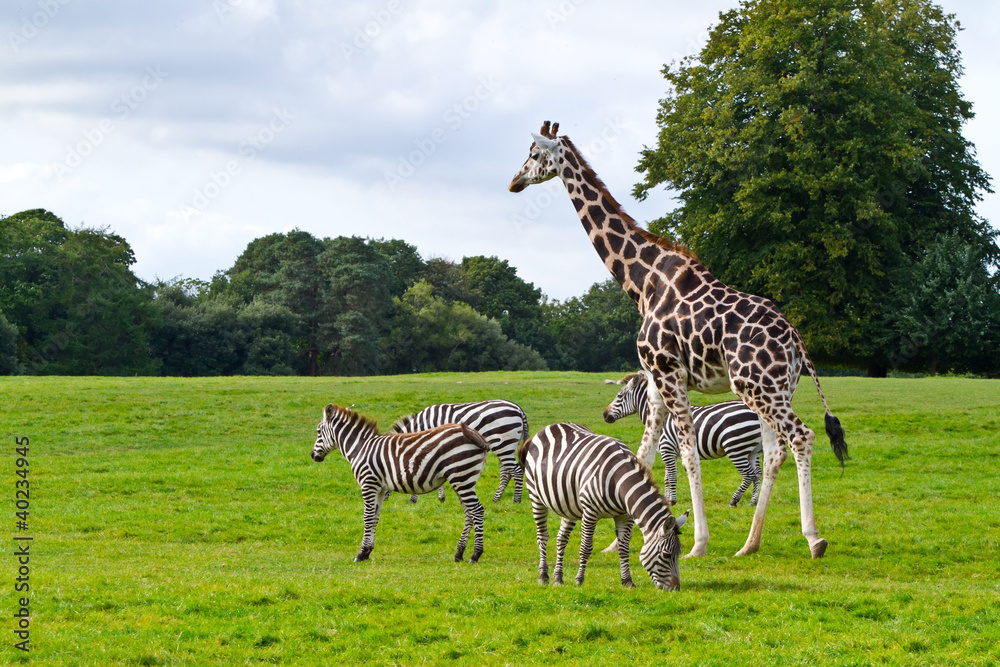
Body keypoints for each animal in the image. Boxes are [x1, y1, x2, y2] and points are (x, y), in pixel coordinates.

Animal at [308, 402, 488, 564]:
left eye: (318, 431)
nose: (312, 456)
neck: (360, 448)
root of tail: (476, 434)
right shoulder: (380, 488)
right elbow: (375, 517)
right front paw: (367, 552)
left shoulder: (368, 483)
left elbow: (367, 517)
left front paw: (361, 553)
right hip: (462, 479)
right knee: (469, 513)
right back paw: (459, 554)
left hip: (461, 476)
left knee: (477, 510)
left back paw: (475, 555)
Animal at [390, 400, 532, 504]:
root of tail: (519, 409)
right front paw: (441, 497)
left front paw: (414, 498)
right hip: (506, 446)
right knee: (506, 473)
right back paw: (496, 499)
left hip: (503, 444)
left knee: (516, 471)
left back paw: (516, 500)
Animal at [516, 422, 688, 588]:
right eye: (666, 555)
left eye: (679, 554)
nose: (675, 589)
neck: (619, 483)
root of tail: (545, 429)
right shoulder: (590, 511)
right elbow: (586, 547)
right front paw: (579, 580)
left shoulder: (624, 515)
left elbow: (623, 548)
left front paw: (627, 581)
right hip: (536, 497)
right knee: (542, 536)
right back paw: (543, 576)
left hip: (570, 505)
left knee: (561, 538)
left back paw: (558, 578)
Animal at [600, 374, 764, 508]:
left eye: (619, 396)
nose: (604, 415)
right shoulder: (669, 452)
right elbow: (666, 478)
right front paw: (666, 499)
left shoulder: (667, 449)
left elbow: (671, 477)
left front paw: (672, 501)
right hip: (753, 450)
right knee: (758, 474)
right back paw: (753, 502)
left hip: (735, 447)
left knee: (749, 474)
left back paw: (734, 501)